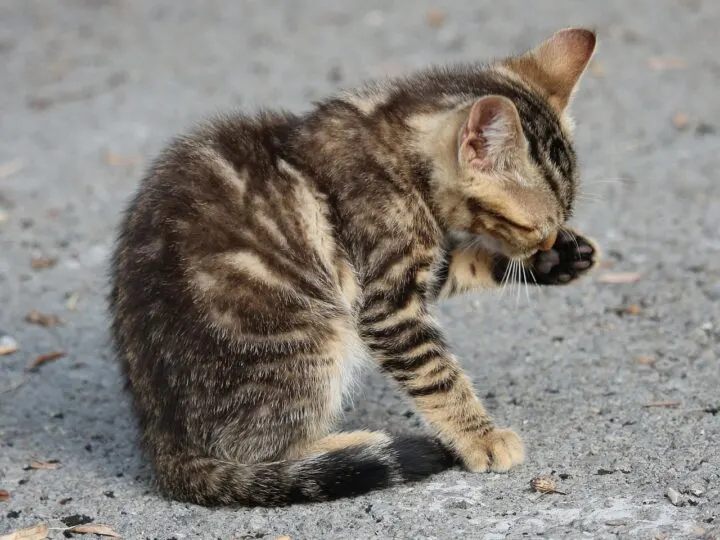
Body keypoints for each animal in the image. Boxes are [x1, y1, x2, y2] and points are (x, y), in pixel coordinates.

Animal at [107, 26, 600, 506]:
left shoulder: (421, 269)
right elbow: (436, 374)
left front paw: (556, 260)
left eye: (560, 220)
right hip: (314, 336)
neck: (394, 145)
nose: (549, 241)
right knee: (264, 452)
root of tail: (163, 442)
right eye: (533, 226)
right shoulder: (386, 300)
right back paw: (356, 446)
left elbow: (460, 264)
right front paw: (481, 437)